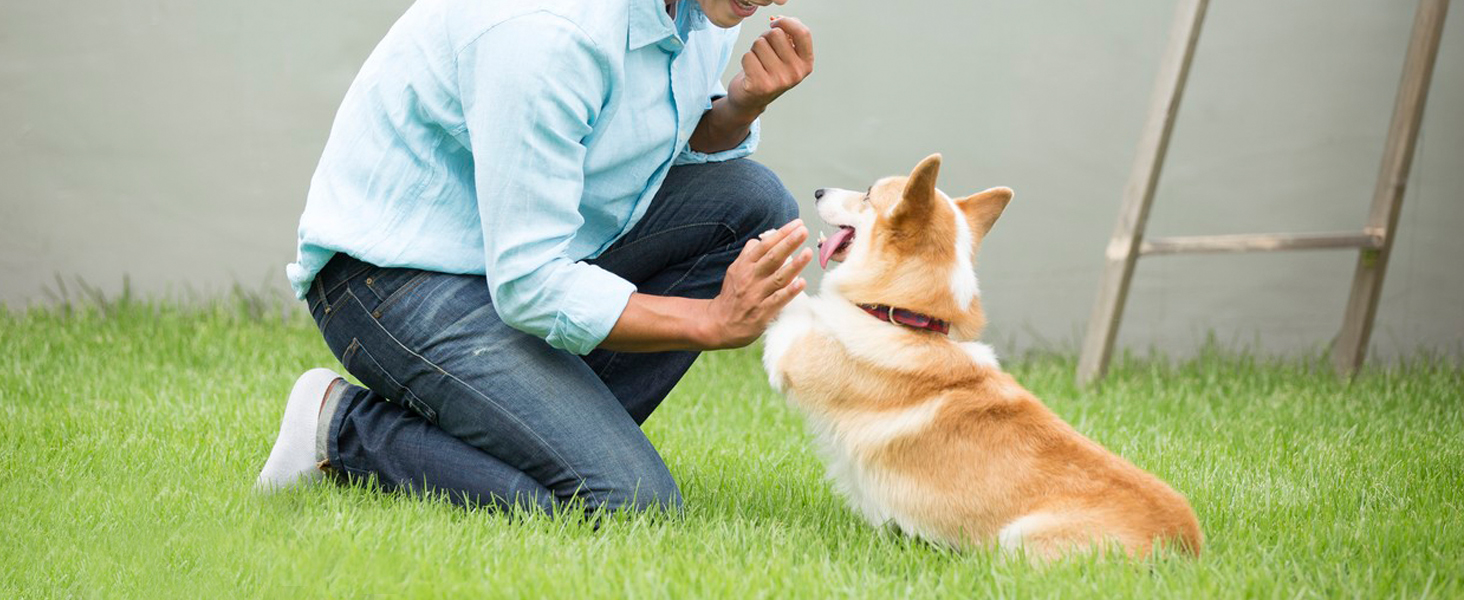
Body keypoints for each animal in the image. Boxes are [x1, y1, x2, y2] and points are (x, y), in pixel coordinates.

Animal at [767, 154, 1200, 561]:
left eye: (868, 194)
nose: (818, 191)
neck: (910, 321)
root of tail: (1185, 550)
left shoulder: (794, 350)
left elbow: (795, 297)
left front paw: (769, 250)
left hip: (1019, 538)